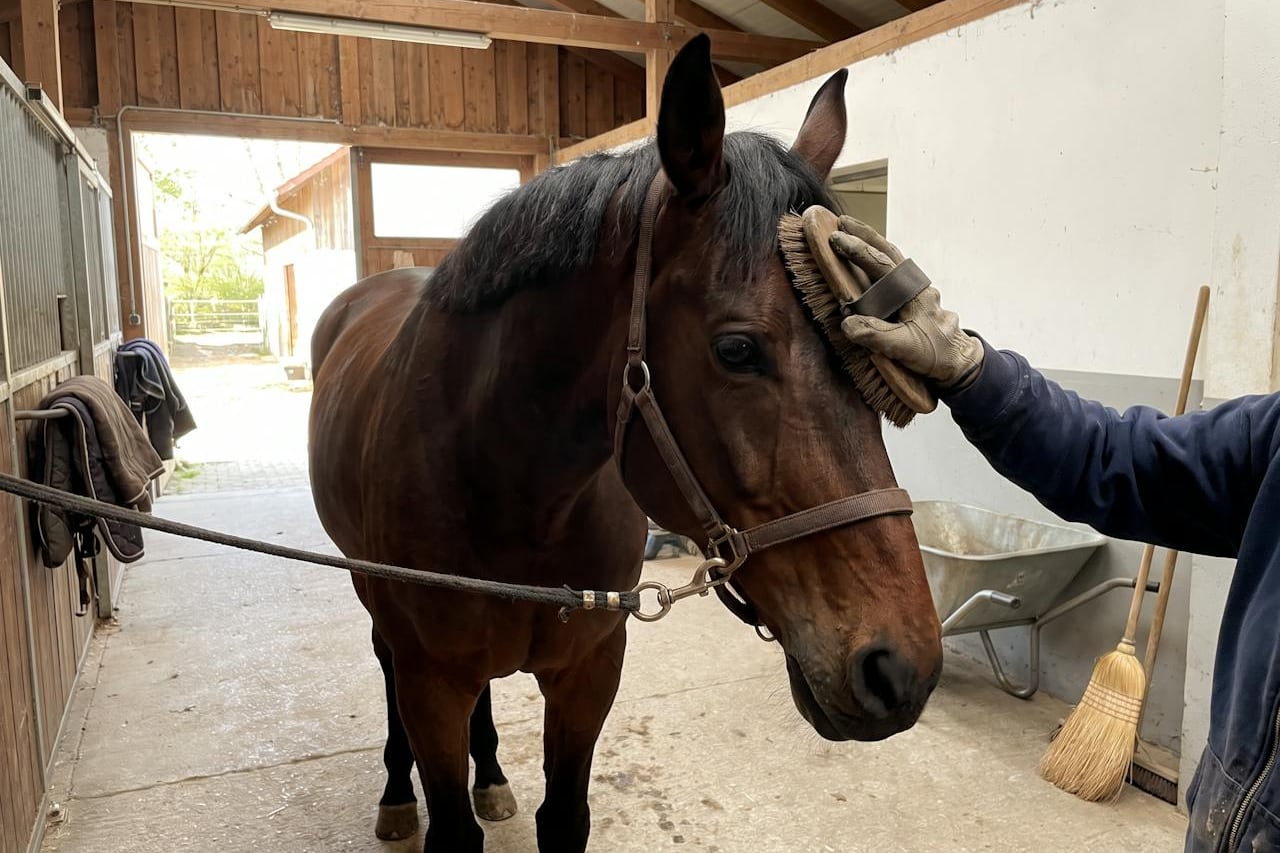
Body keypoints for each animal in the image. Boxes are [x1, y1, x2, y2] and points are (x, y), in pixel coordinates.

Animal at [308, 34, 943, 853]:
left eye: (863, 346)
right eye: (737, 349)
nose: (901, 668)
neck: (510, 493)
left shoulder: (589, 672)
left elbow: (563, 818)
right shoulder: (431, 683)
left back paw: (493, 776)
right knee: (384, 662)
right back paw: (395, 793)